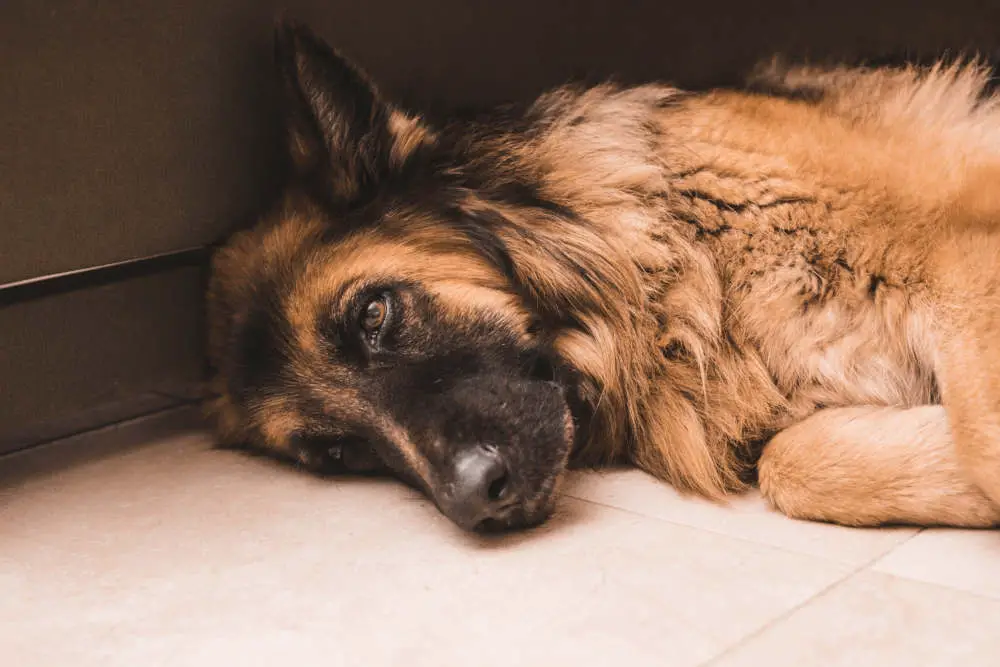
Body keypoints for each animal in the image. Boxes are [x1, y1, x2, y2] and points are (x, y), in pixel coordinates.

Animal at [203, 19, 1000, 532]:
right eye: (336, 452)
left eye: (374, 314)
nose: (474, 502)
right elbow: (792, 461)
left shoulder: (961, 251)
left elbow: (982, 433)